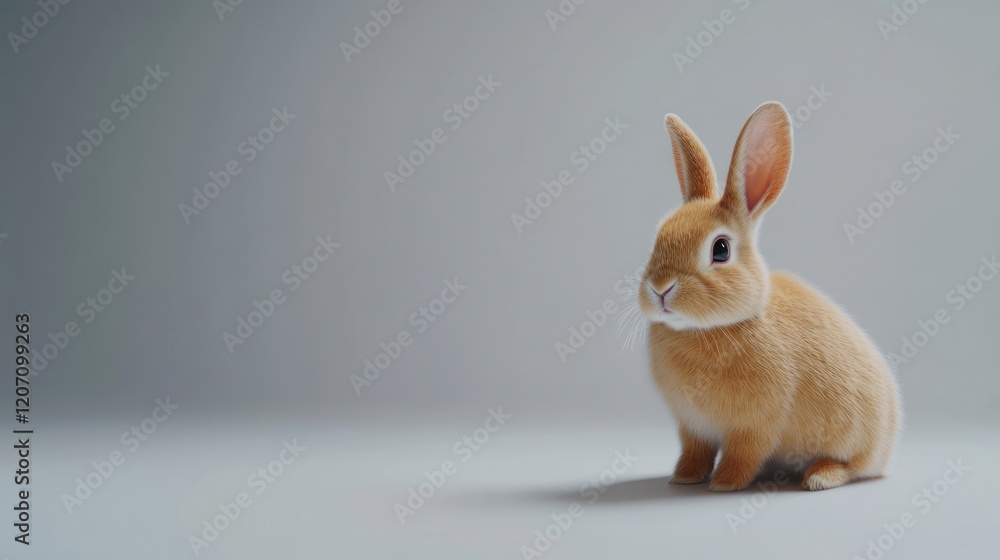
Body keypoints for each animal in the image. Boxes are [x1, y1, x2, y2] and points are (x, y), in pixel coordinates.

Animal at [640, 102, 901, 491]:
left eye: (720, 249)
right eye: (659, 237)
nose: (660, 287)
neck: (711, 328)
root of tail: (888, 446)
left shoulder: (755, 427)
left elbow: (743, 455)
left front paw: (724, 484)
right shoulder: (692, 428)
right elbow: (694, 452)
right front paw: (684, 478)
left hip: (853, 443)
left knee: (851, 466)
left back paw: (820, 477)